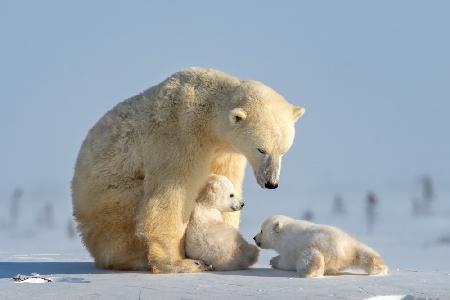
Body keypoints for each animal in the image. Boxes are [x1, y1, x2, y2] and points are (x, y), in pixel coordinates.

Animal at [72, 67, 306, 272]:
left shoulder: (226, 151)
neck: (207, 112)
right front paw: (180, 263)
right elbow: (171, 196)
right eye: (261, 149)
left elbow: (225, 179)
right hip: (112, 195)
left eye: (284, 151)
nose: (271, 183)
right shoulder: (181, 136)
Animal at [253, 216, 386, 276]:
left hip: (316, 247)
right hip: (354, 245)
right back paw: (381, 267)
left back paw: (310, 272)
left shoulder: (289, 246)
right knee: (367, 254)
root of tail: (342, 252)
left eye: (261, 230)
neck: (283, 233)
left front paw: (273, 260)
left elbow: (287, 262)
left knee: (310, 259)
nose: (254, 238)